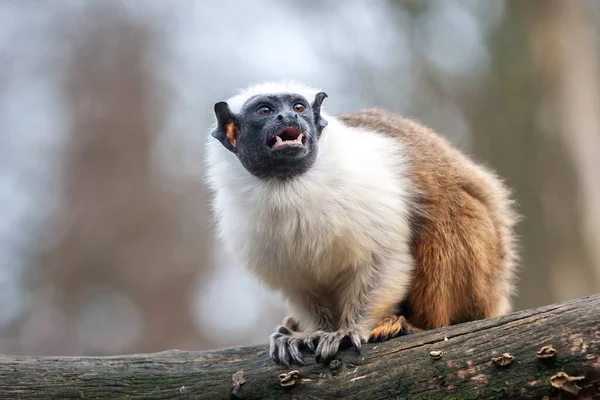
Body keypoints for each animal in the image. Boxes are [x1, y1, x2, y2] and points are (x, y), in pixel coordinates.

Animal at [204, 80, 516, 366]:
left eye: (298, 108)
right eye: (265, 111)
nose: (287, 117)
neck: (288, 185)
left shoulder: (366, 190)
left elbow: (384, 261)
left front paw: (348, 330)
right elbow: (302, 285)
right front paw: (313, 331)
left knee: (448, 211)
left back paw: (413, 326)